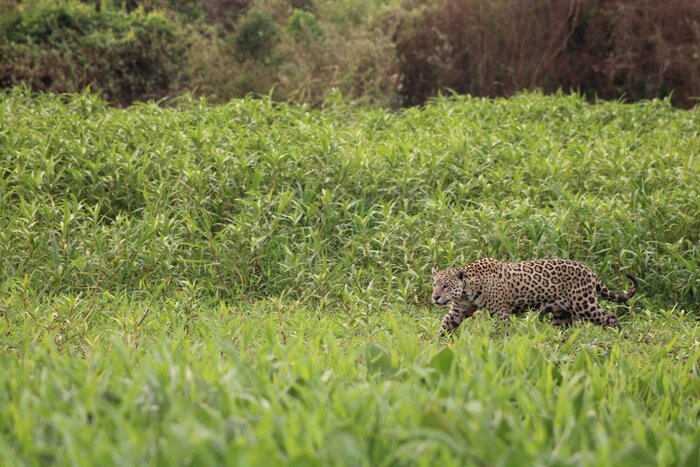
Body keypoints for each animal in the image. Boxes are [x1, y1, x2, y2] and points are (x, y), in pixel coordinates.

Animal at [431, 258, 638, 335]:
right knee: (565, 327)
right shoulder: (458, 310)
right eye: (434, 285)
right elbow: (444, 325)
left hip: (584, 304)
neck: (467, 289)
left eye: (446, 286)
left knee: (610, 317)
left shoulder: (500, 312)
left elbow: (503, 331)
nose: (435, 297)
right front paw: (433, 346)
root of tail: (589, 271)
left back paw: (619, 337)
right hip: (562, 312)